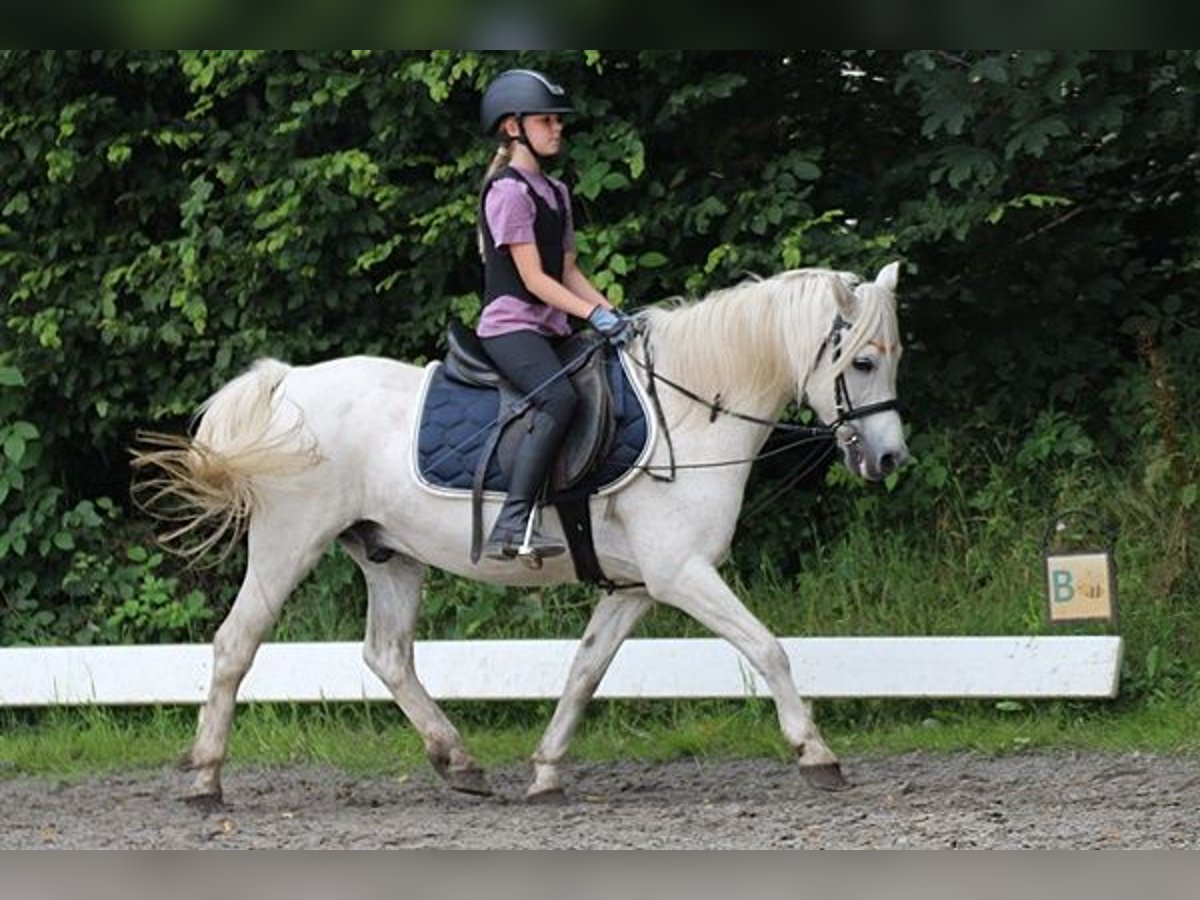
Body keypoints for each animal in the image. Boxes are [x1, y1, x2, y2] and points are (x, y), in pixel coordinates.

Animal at [133, 260, 907, 801]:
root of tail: (288, 381)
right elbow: (768, 648)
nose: (890, 459)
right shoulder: (680, 572)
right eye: (862, 361)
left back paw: (460, 764)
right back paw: (204, 782)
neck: (690, 411)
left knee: (388, 655)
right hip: (289, 541)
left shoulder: (635, 586)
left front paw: (545, 772)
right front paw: (818, 756)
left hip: (389, 553)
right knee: (236, 645)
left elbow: (585, 671)